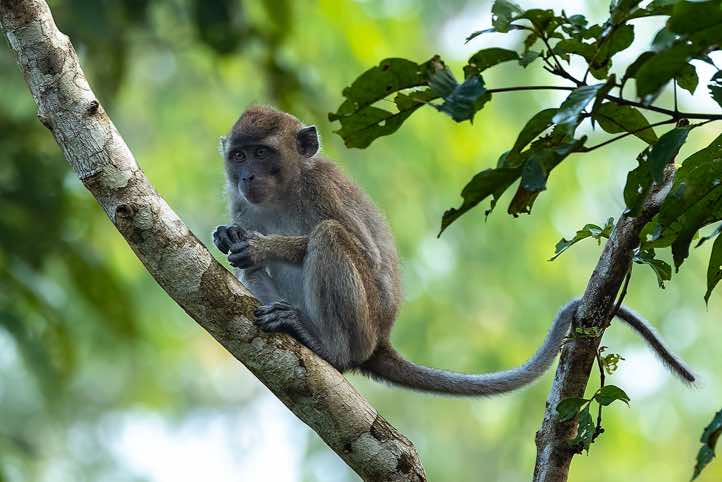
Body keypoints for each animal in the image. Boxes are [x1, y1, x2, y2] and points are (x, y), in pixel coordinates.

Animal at [211, 105, 695, 396]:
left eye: (262, 153)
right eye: (239, 156)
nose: (247, 177)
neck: (284, 190)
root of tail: (380, 339)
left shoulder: (322, 188)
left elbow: (363, 252)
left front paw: (261, 246)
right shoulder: (239, 202)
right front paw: (229, 237)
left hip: (364, 322)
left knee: (331, 237)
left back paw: (328, 347)